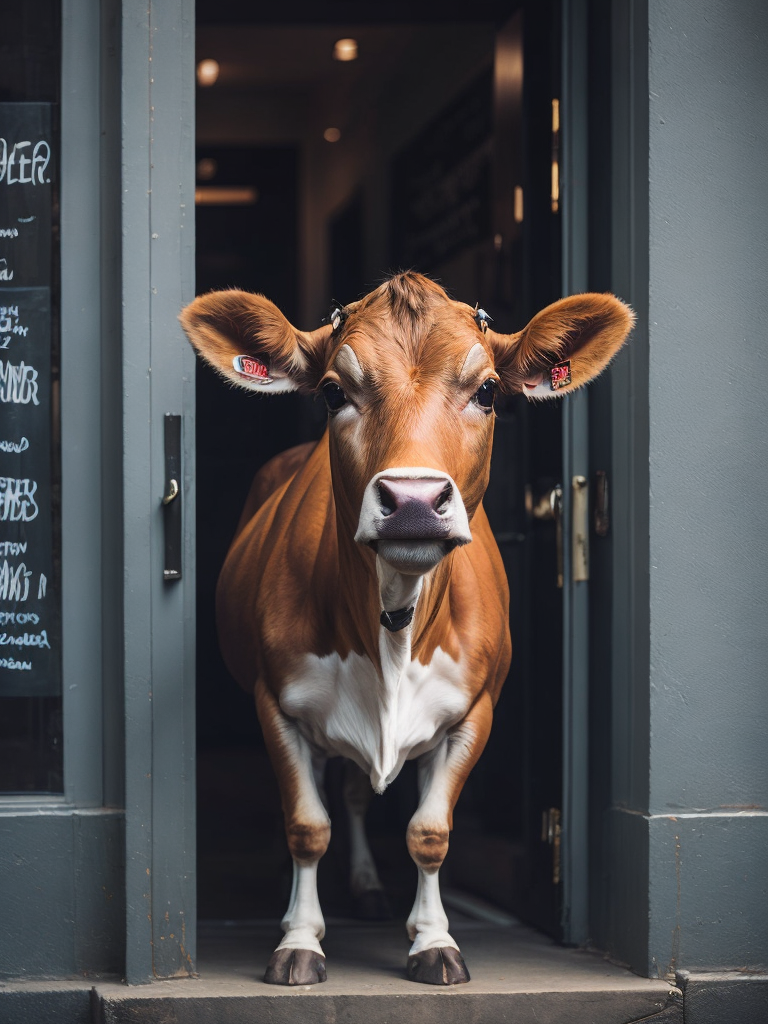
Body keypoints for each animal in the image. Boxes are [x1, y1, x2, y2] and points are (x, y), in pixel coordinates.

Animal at [182, 272, 638, 983]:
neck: (393, 628)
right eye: (334, 392)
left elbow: (430, 831)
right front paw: (298, 941)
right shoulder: (274, 701)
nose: (415, 501)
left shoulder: (476, 708)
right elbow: (307, 825)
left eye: (487, 391)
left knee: (361, 794)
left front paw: (433, 941)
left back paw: (371, 887)